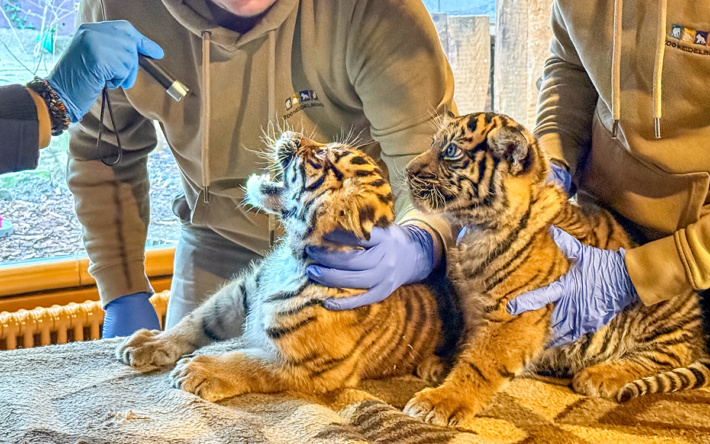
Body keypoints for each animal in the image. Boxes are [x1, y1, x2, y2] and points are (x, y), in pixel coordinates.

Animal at [115, 131, 460, 402]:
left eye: (321, 155)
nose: (292, 133)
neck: (295, 255)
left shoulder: (309, 367)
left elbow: (250, 363)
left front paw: (201, 370)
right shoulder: (242, 293)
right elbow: (196, 320)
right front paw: (149, 343)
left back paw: (433, 368)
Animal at [402, 111, 710, 427]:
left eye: (450, 151)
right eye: (433, 143)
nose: (408, 169)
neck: (479, 227)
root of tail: (698, 332)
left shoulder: (515, 317)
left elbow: (481, 364)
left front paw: (440, 401)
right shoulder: (474, 309)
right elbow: (466, 342)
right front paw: (442, 364)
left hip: (660, 310)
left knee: (666, 356)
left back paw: (600, 375)